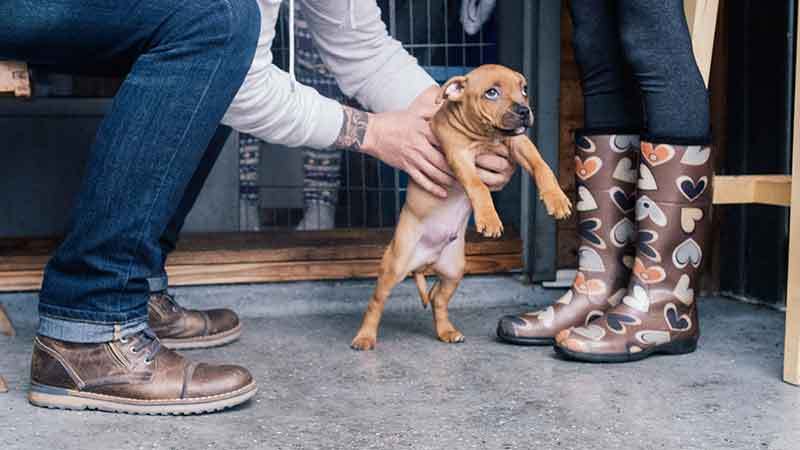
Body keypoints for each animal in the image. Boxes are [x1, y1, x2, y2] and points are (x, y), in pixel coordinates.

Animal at [354, 64, 572, 352]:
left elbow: (542, 166)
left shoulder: (520, 143)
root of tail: (427, 260)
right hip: (396, 264)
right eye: (491, 93)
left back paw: (447, 331)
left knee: (438, 298)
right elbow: (477, 185)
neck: (487, 136)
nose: (524, 110)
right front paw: (489, 219)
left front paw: (557, 199)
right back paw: (364, 337)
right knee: (376, 302)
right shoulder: (459, 157)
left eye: (524, 89)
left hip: (454, 269)